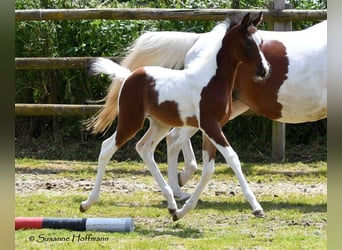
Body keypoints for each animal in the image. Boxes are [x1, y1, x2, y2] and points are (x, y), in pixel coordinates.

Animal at [81, 13, 272, 221]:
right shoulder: (210, 125)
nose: (264, 70)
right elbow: (232, 158)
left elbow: (208, 169)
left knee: (144, 148)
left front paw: (182, 212)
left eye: (261, 42)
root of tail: (129, 76)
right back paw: (87, 203)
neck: (211, 81)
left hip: (160, 124)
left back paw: (172, 204)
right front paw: (257, 207)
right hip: (130, 121)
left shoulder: (212, 128)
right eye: (247, 42)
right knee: (107, 147)